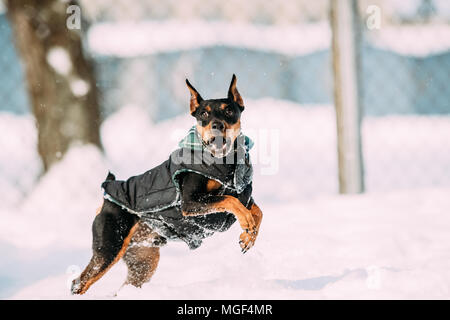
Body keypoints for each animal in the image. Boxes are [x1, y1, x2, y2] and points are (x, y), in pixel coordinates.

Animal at [70, 75, 260, 296]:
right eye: (203, 113)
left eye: (229, 110)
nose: (217, 126)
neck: (225, 163)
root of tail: (105, 200)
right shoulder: (190, 203)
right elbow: (230, 200)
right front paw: (246, 222)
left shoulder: (244, 195)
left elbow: (257, 211)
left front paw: (248, 237)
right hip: (109, 248)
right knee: (78, 283)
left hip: (144, 262)